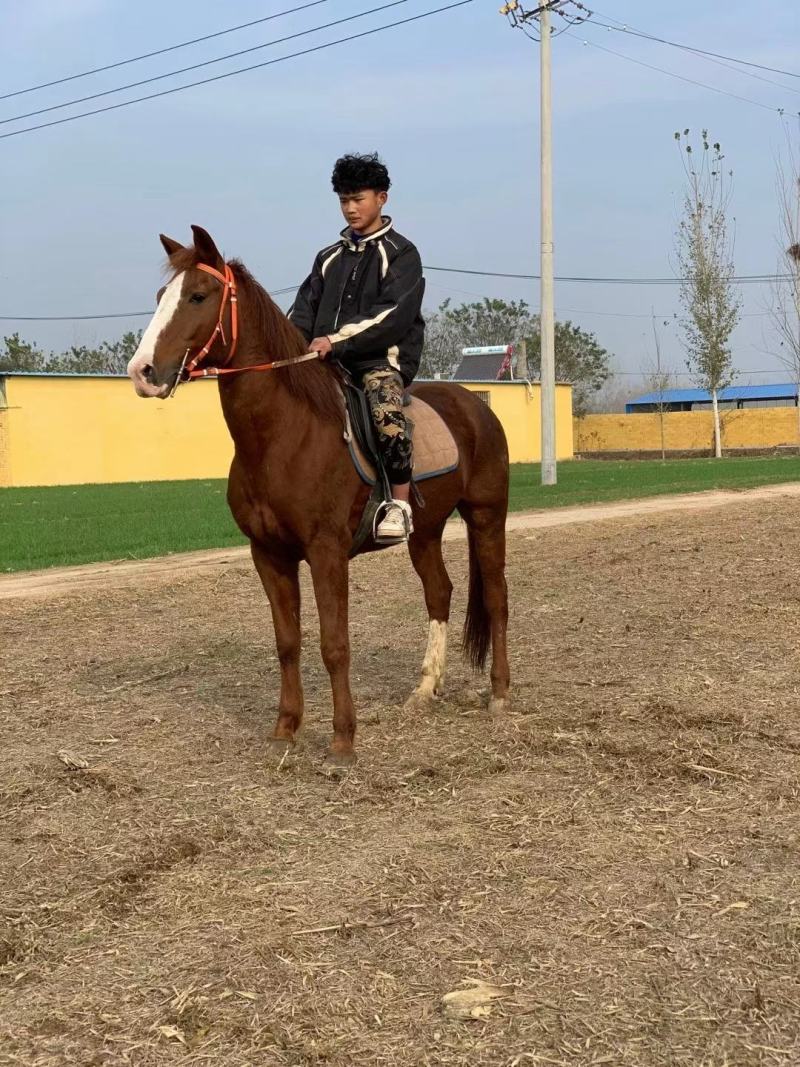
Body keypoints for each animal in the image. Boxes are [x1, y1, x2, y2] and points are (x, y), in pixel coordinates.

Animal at [127, 225, 510, 771]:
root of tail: (475, 406)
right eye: (162, 295)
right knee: (439, 592)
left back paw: (499, 694)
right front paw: (285, 729)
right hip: (427, 530)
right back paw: (424, 690)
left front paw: (342, 741)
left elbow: (334, 644)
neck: (284, 435)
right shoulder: (268, 554)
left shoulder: (327, 552)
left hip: (486, 516)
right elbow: (288, 642)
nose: (142, 372)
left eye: (198, 295)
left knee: (496, 598)